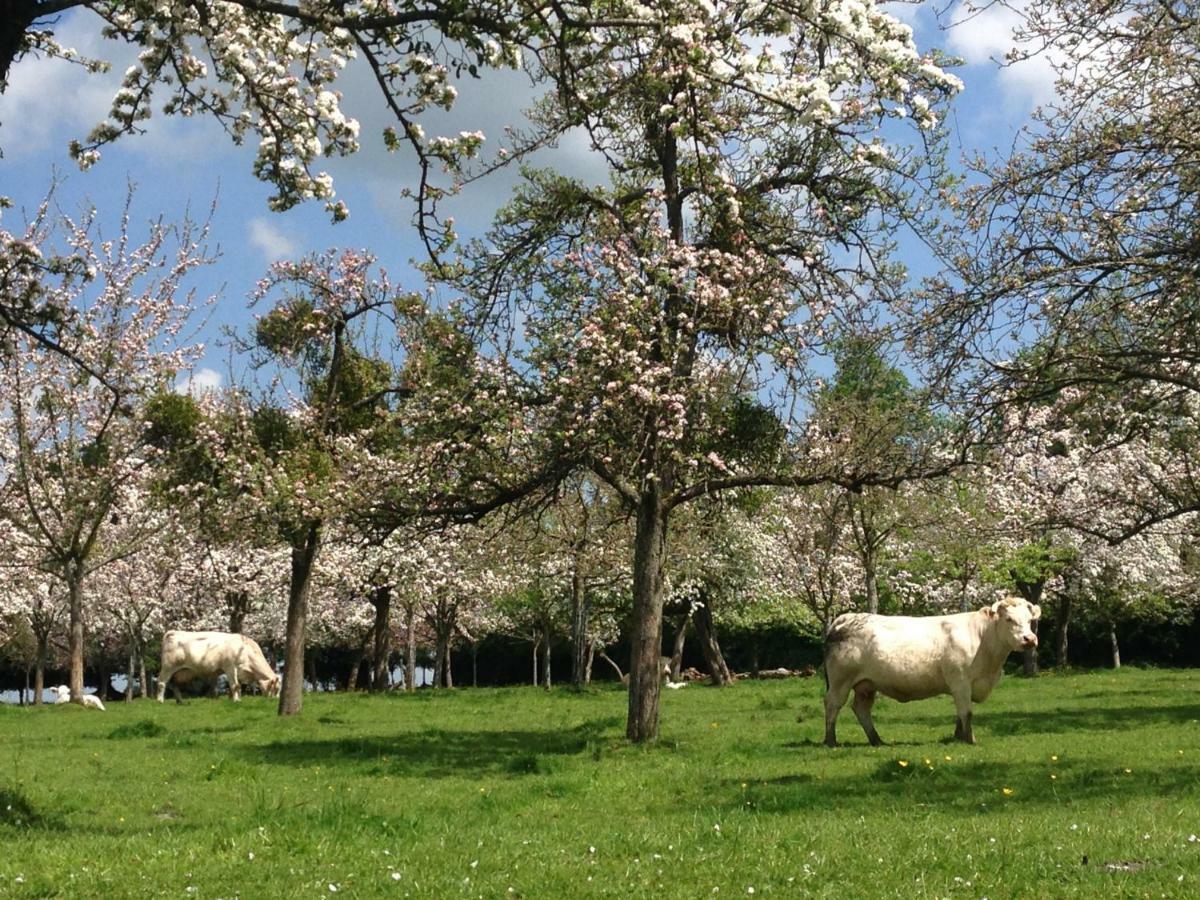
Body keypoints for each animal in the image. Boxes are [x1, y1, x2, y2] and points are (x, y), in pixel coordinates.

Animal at [825, 600, 1041, 748]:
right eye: (1009, 619)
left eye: (1030, 620)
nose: (1029, 639)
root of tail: (845, 618)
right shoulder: (960, 681)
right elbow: (966, 712)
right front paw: (970, 739)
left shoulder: (965, 686)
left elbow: (960, 713)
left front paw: (958, 737)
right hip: (840, 681)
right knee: (832, 705)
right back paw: (830, 741)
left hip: (866, 685)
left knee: (861, 709)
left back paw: (877, 740)